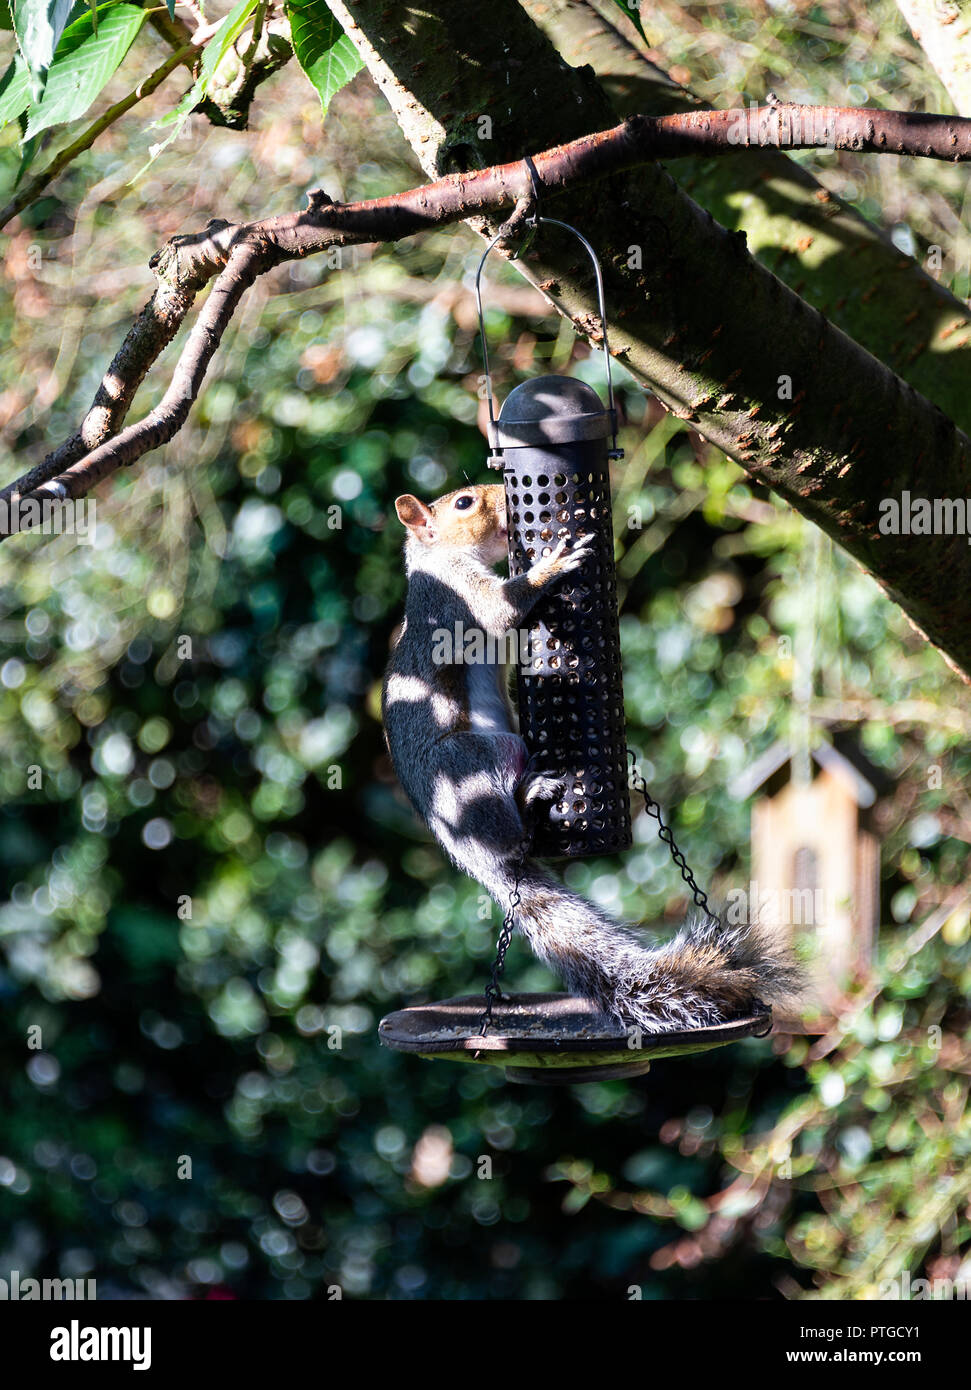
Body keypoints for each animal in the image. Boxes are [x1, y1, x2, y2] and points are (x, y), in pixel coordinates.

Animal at [383, 483, 800, 1028]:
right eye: (465, 504)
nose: (501, 492)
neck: (438, 561)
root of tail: (467, 851)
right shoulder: (454, 597)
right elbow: (498, 609)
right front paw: (554, 564)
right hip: (468, 765)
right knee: (511, 834)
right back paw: (531, 800)